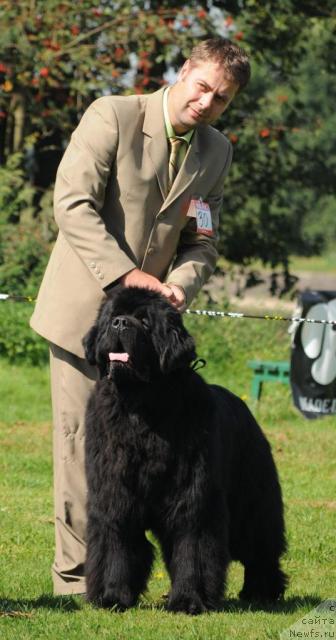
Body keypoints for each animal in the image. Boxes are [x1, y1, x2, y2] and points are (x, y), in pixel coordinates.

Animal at [82, 286, 288, 616]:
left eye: (145, 322)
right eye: (112, 316)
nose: (120, 324)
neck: (141, 406)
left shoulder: (193, 497)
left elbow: (192, 546)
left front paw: (190, 600)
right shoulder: (113, 493)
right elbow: (116, 543)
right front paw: (111, 596)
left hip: (252, 501)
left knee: (260, 546)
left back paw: (261, 591)